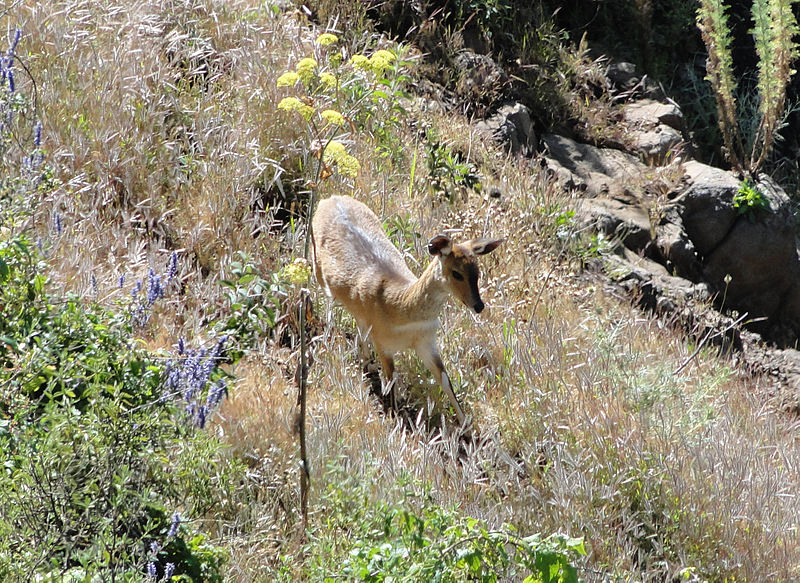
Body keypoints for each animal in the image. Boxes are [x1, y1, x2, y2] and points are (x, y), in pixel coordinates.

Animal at [310, 194, 504, 426]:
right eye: (456, 273)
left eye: (477, 271)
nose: (479, 306)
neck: (399, 310)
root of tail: (328, 199)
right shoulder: (383, 342)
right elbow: (391, 381)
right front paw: (394, 419)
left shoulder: (427, 341)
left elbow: (445, 378)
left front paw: (465, 424)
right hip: (317, 266)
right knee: (328, 301)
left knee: (359, 323)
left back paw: (366, 362)